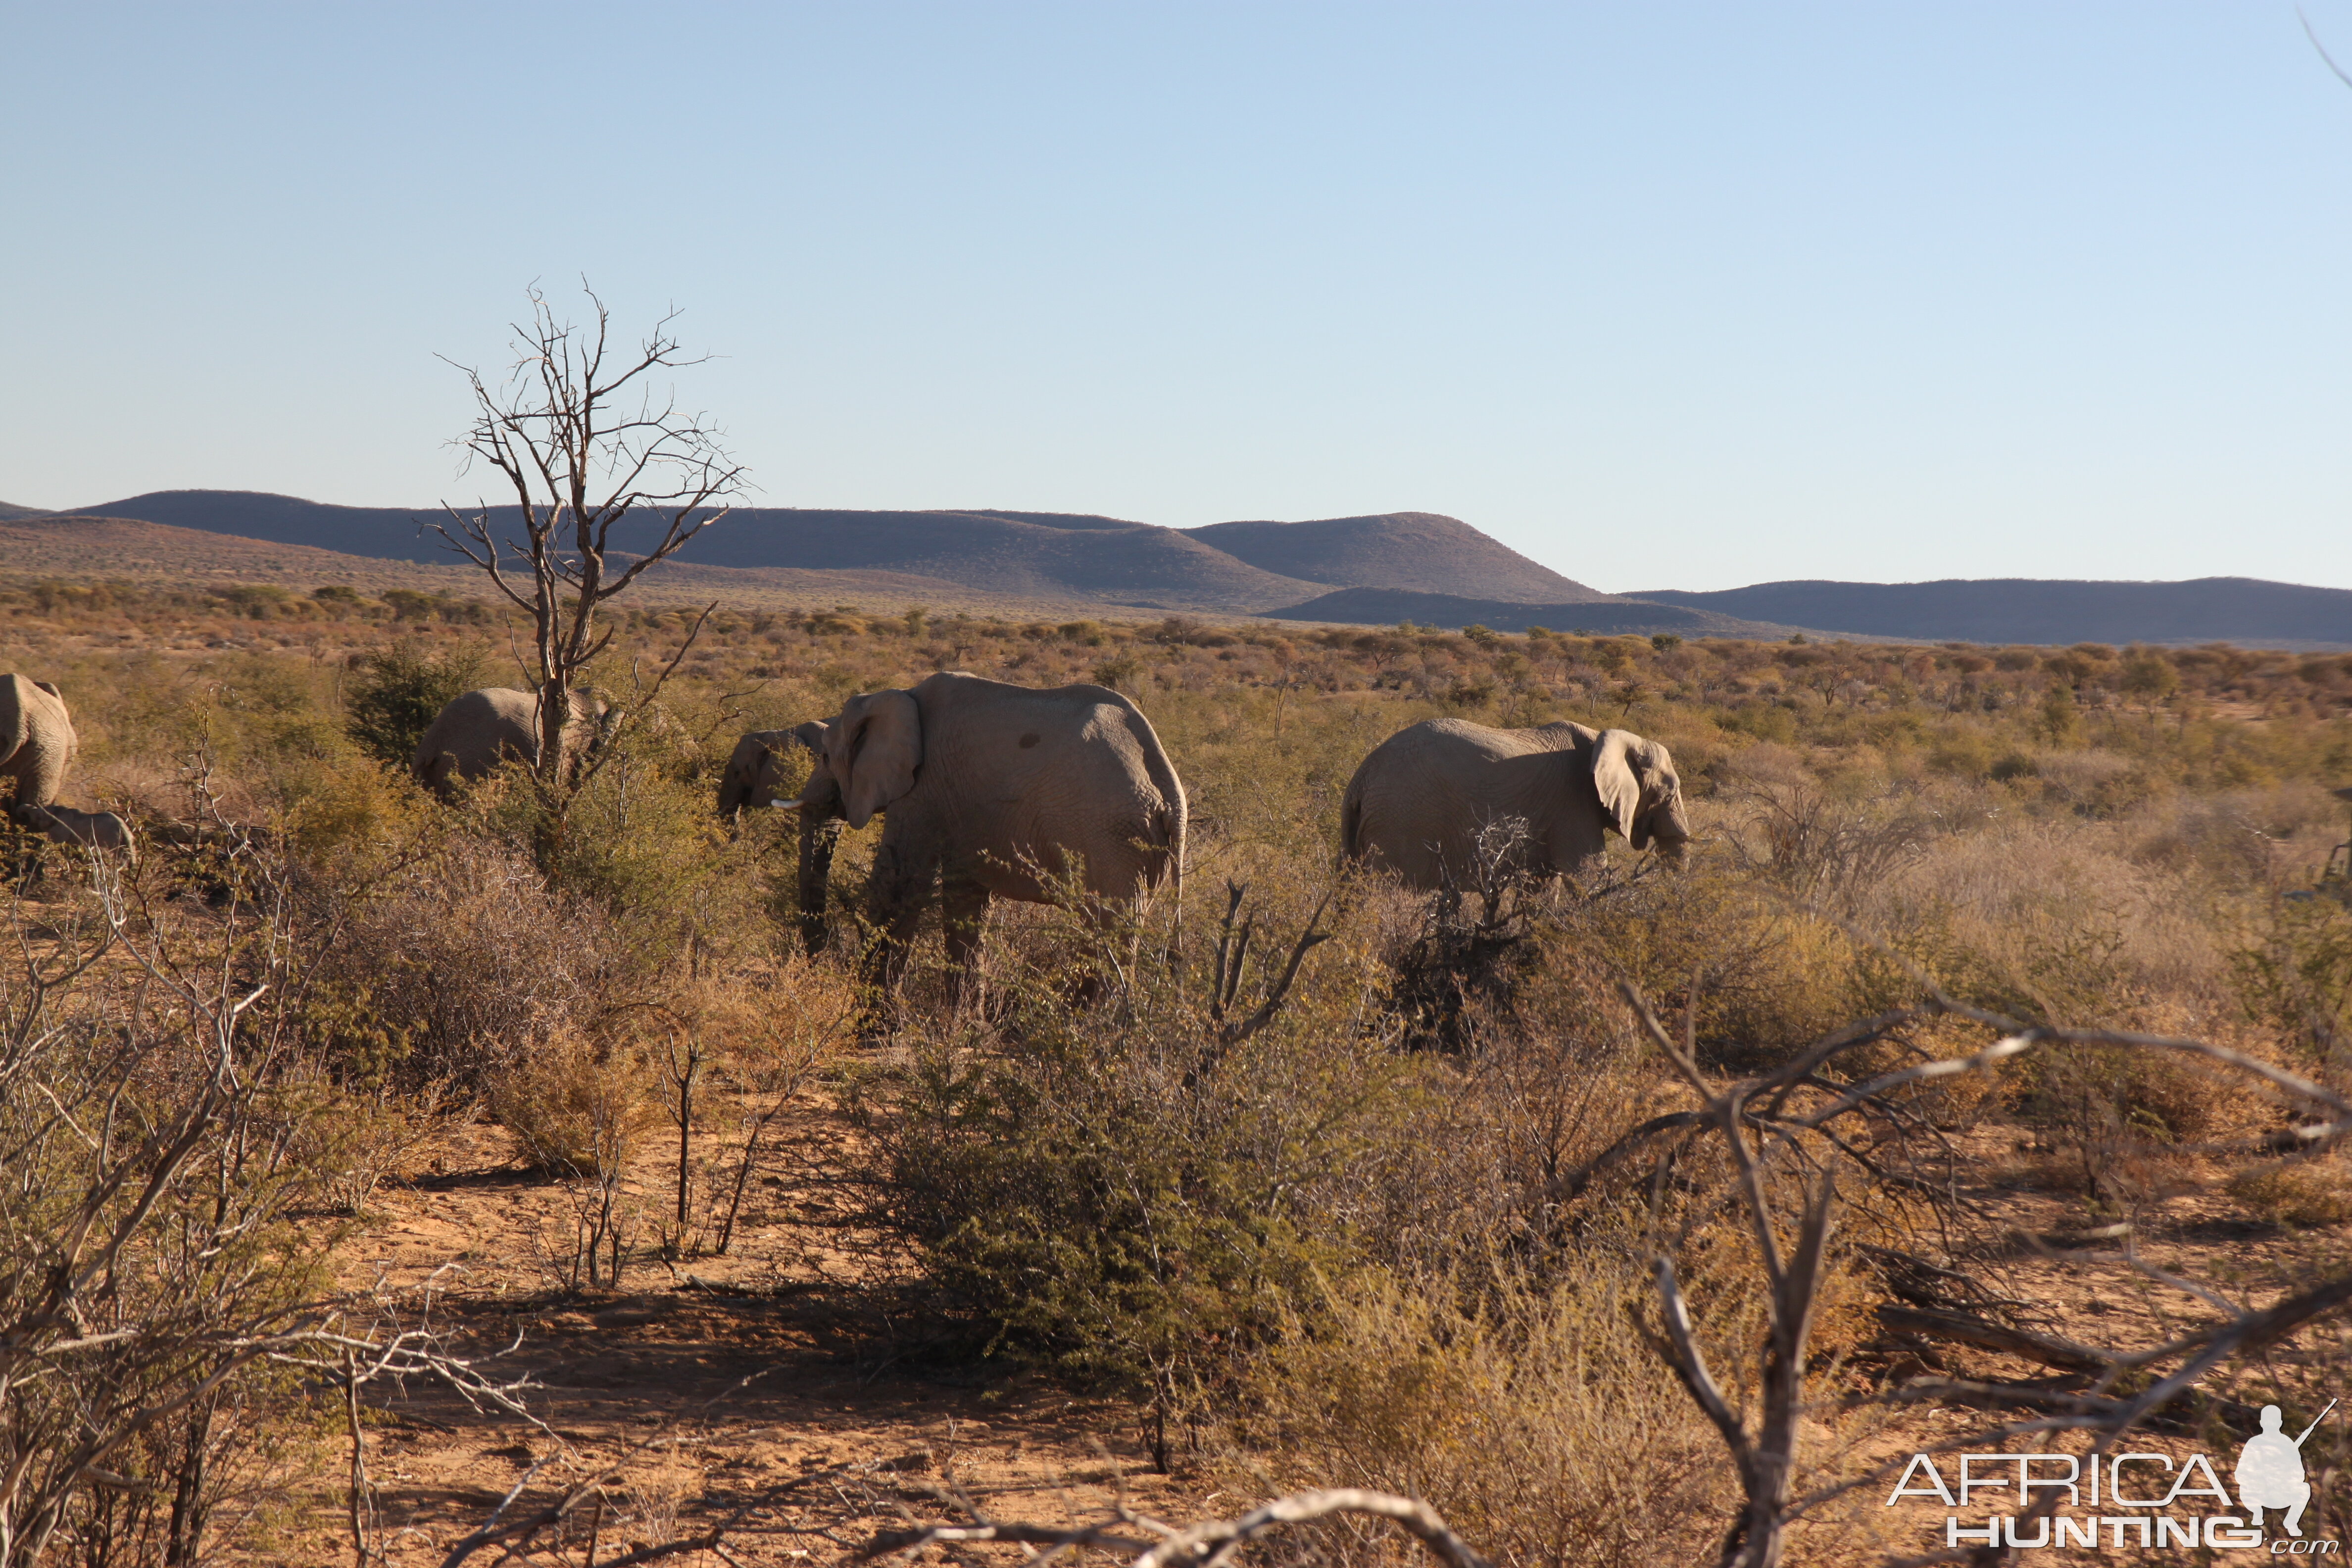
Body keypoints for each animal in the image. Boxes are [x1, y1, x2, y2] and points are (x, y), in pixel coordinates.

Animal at [715, 672, 1185, 992]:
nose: (819, 957)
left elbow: (899, 884)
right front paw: (960, 1030)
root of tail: (1169, 792)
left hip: (1109, 835)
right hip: (1133, 839)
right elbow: (964, 898)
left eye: (828, 757)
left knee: (1107, 930)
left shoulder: (923, 790)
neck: (897, 696)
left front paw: (871, 1029)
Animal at [1345, 719, 1693, 888]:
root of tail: (1362, 775)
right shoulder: (1573, 802)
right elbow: (1586, 874)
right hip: (1403, 821)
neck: (1605, 737)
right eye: (1669, 793)